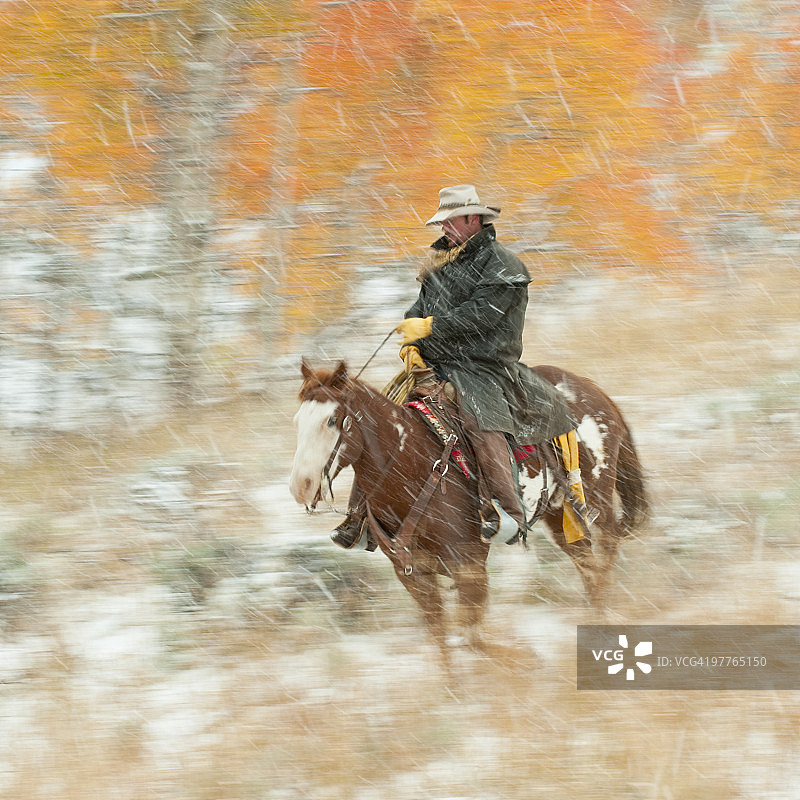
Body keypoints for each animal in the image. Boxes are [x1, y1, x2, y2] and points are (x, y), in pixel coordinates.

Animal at [289, 359, 648, 668]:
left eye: (331, 420)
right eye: (298, 421)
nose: (301, 486)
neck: (413, 465)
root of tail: (592, 390)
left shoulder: (469, 566)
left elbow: (472, 637)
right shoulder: (413, 573)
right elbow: (443, 640)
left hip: (596, 497)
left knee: (605, 553)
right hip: (558, 515)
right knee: (586, 561)